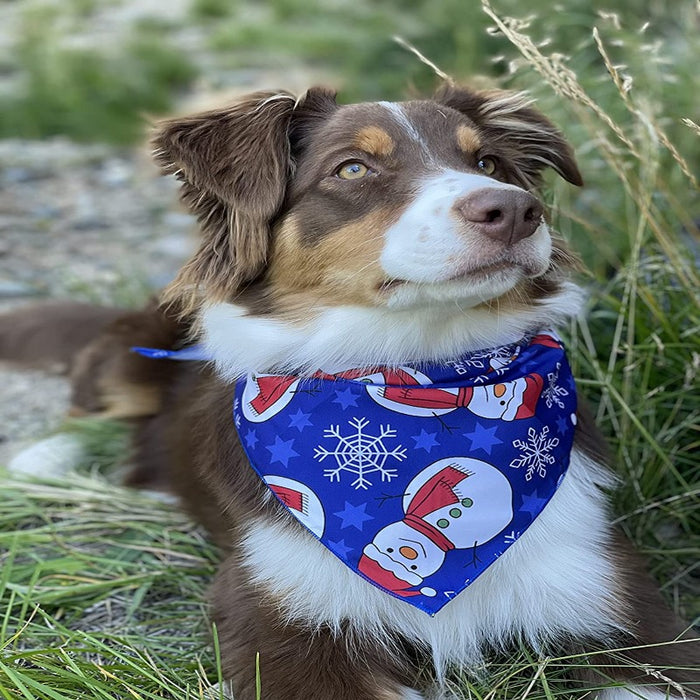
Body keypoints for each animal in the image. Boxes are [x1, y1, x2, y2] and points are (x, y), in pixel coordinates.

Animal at [2, 87, 696, 700]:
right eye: (354, 168)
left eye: (488, 163)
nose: (517, 211)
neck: (411, 368)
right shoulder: (284, 620)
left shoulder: (613, 599)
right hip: (136, 350)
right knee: (89, 409)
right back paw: (41, 464)